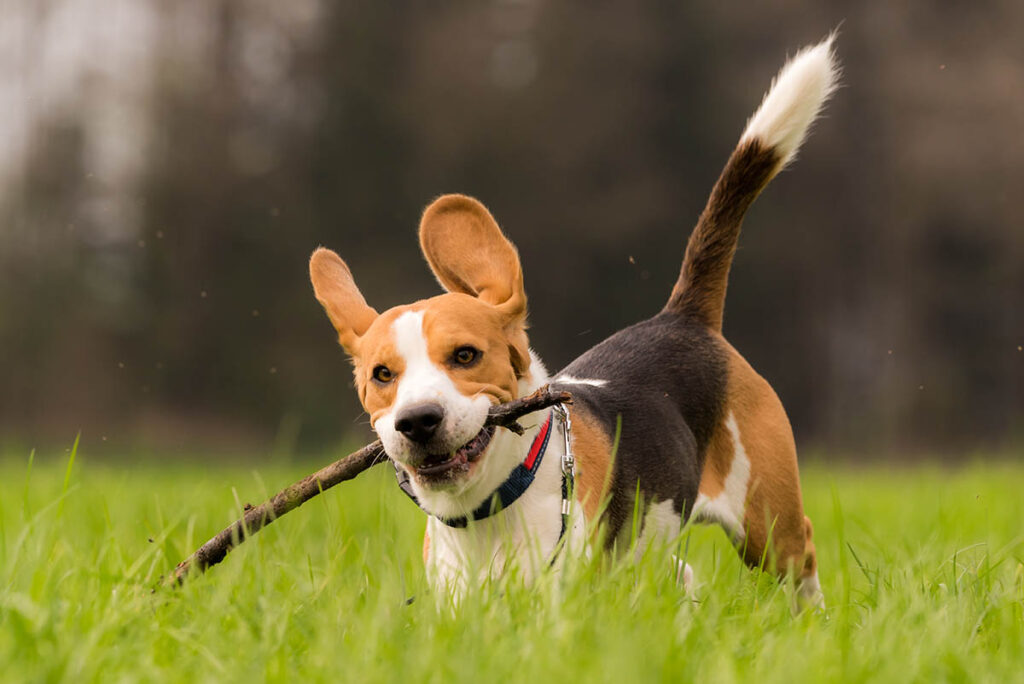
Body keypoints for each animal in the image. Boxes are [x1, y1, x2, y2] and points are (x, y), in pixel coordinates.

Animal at [307, 37, 835, 602]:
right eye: (382, 375)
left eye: (466, 356)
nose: (417, 420)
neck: (487, 513)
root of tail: (682, 316)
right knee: (683, 572)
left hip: (769, 525)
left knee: (801, 554)